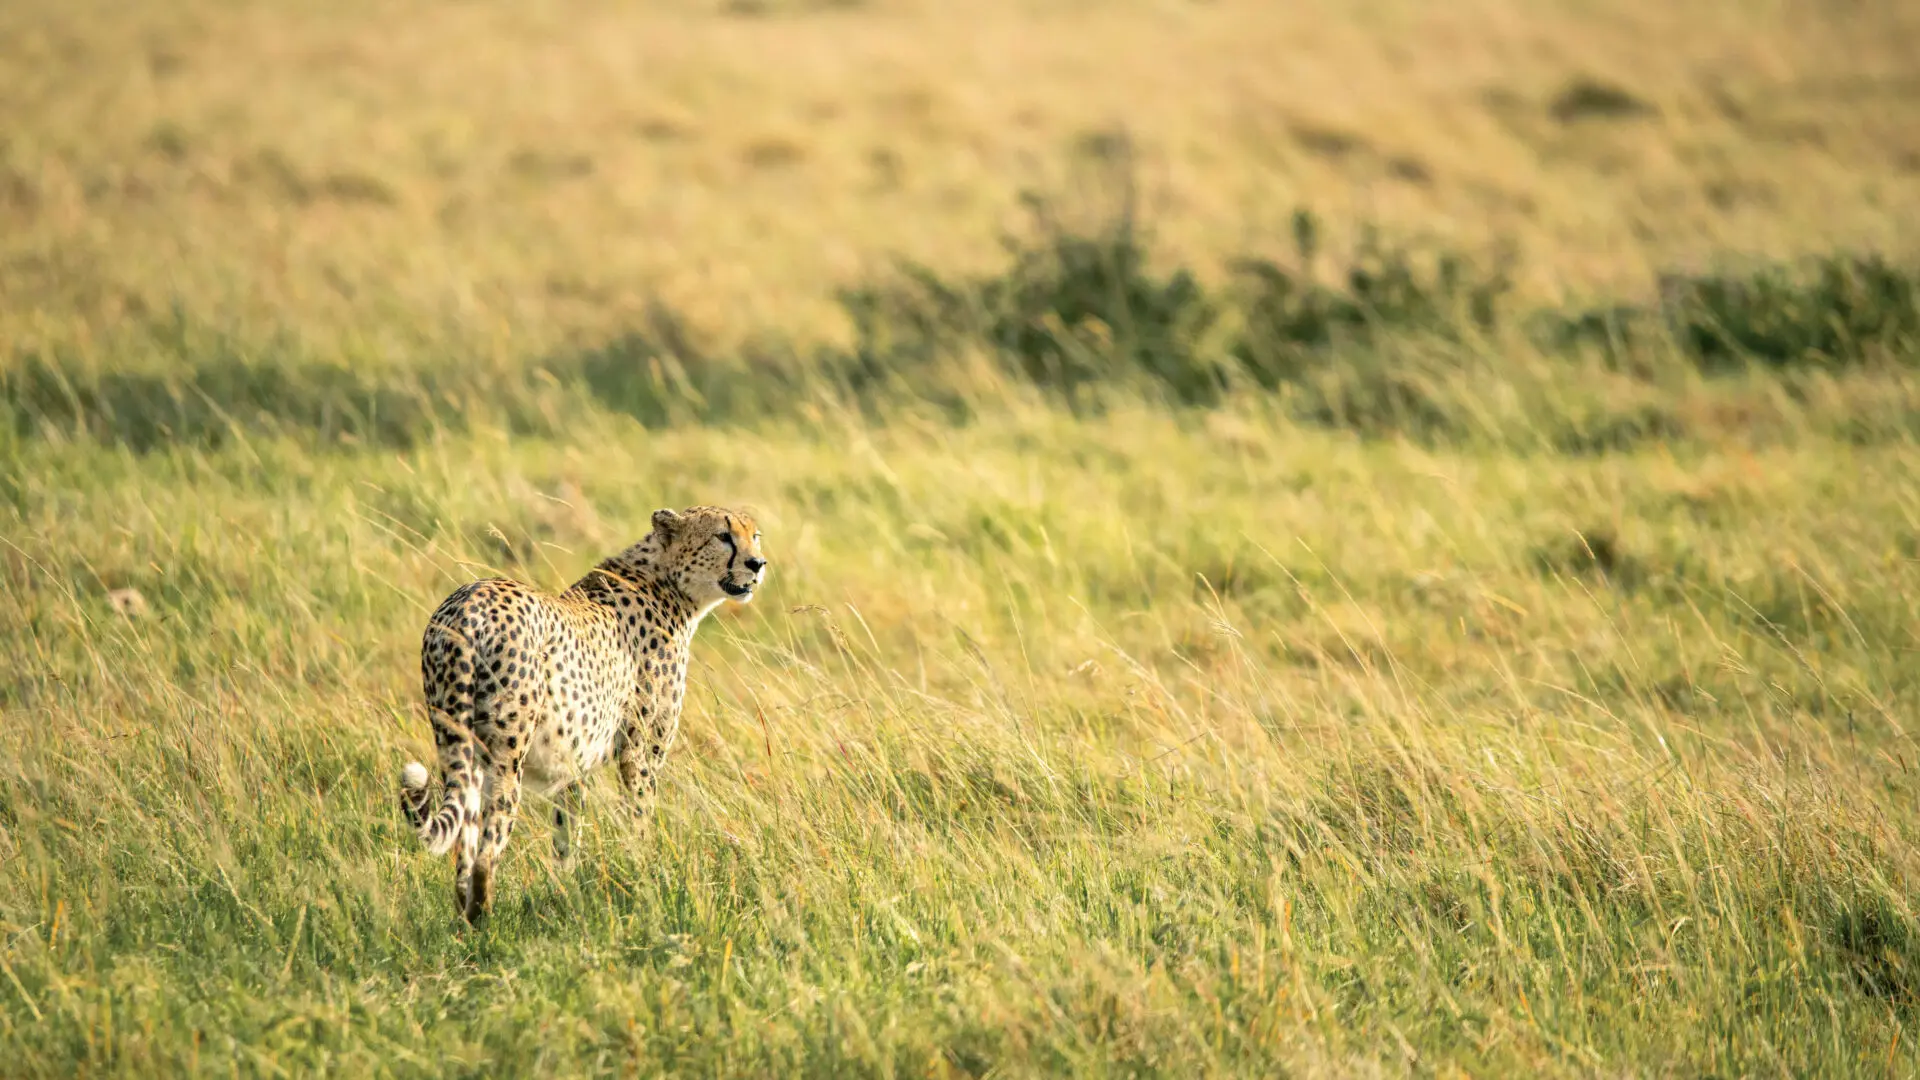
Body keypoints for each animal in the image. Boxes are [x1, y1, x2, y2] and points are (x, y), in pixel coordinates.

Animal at [398, 504, 767, 923]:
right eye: (723, 536)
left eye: (755, 536)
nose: (757, 564)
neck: (667, 583)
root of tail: (469, 603)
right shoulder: (640, 754)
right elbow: (640, 818)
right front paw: (645, 872)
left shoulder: (574, 762)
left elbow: (566, 835)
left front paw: (564, 892)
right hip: (506, 756)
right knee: (487, 851)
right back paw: (485, 925)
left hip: (456, 742)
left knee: (464, 845)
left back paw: (463, 922)